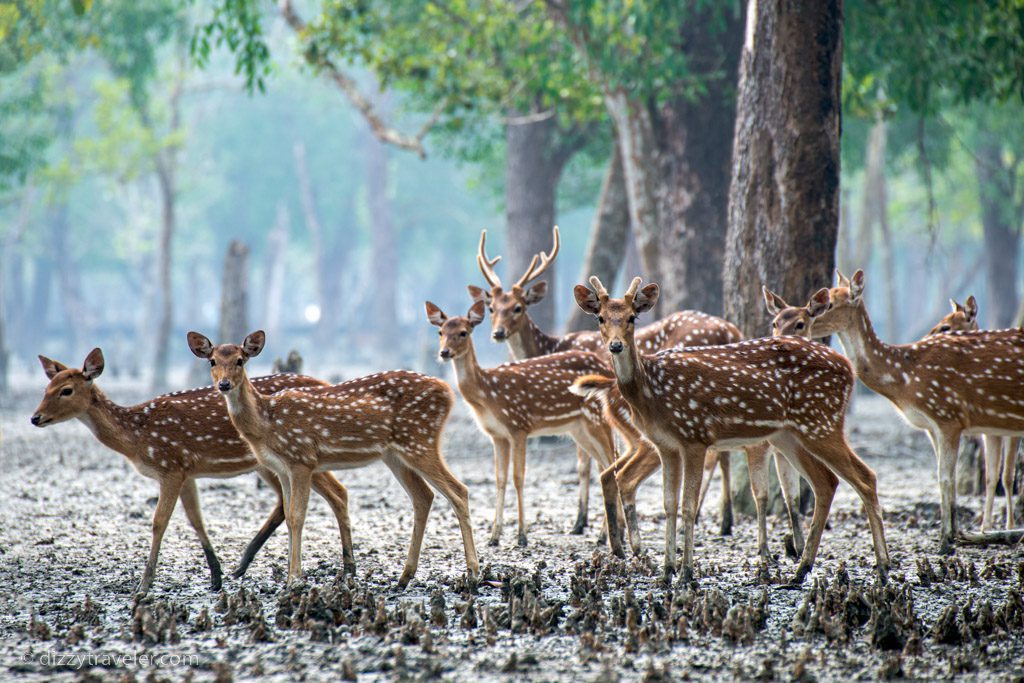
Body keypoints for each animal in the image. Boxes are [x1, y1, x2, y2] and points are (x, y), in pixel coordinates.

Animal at [29, 348, 356, 593]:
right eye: (45, 388)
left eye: (66, 390)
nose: (35, 417)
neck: (137, 438)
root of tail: (326, 383)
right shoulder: (186, 471)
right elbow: (195, 519)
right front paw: (215, 577)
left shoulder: (170, 465)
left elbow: (159, 521)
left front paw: (144, 584)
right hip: (272, 462)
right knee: (291, 501)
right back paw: (244, 565)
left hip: (299, 454)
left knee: (337, 492)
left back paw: (343, 570)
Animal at [186, 331, 477, 589]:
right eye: (212, 361)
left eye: (240, 360)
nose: (224, 384)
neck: (266, 423)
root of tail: (448, 392)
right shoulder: (282, 468)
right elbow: (289, 516)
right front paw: (293, 576)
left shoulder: (301, 458)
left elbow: (297, 516)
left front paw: (294, 580)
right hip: (395, 454)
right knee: (423, 496)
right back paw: (404, 578)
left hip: (419, 440)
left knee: (458, 491)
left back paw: (473, 573)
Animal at [425, 301, 622, 552]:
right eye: (440, 332)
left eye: (463, 332)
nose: (444, 352)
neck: (487, 394)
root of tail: (608, 371)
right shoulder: (497, 435)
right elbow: (500, 478)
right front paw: (494, 537)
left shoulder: (518, 425)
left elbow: (518, 477)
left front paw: (521, 536)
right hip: (579, 429)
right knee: (606, 467)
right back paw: (607, 535)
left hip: (597, 419)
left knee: (612, 464)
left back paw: (608, 536)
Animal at [577, 278, 888, 589]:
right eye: (600, 317)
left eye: (632, 317)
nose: (616, 345)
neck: (651, 393)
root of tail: (848, 369)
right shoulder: (665, 445)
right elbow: (669, 504)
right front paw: (666, 573)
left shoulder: (694, 435)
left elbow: (688, 506)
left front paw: (686, 574)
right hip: (789, 434)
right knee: (826, 482)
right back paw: (800, 571)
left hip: (821, 421)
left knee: (865, 477)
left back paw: (883, 569)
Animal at [774, 270, 1024, 552]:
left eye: (829, 304)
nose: (799, 319)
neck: (905, 378)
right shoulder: (933, 426)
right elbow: (948, 477)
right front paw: (955, 535)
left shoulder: (949, 416)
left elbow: (946, 477)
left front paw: (946, 541)